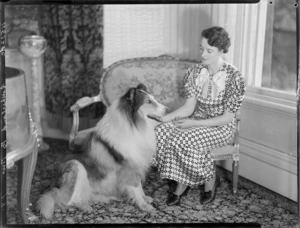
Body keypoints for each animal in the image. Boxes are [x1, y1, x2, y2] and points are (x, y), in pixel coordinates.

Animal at [37, 83, 166, 219]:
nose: (167, 109)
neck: (133, 125)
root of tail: (56, 187)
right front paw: (144, 206)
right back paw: (85, 207)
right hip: (77, 167)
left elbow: (140, 187)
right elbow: (135, 187)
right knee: (67, 201)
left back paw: (108, 198)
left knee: (87, 196)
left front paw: (145, 199)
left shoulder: (137, 164)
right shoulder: (129, 168)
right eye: (148, 101)